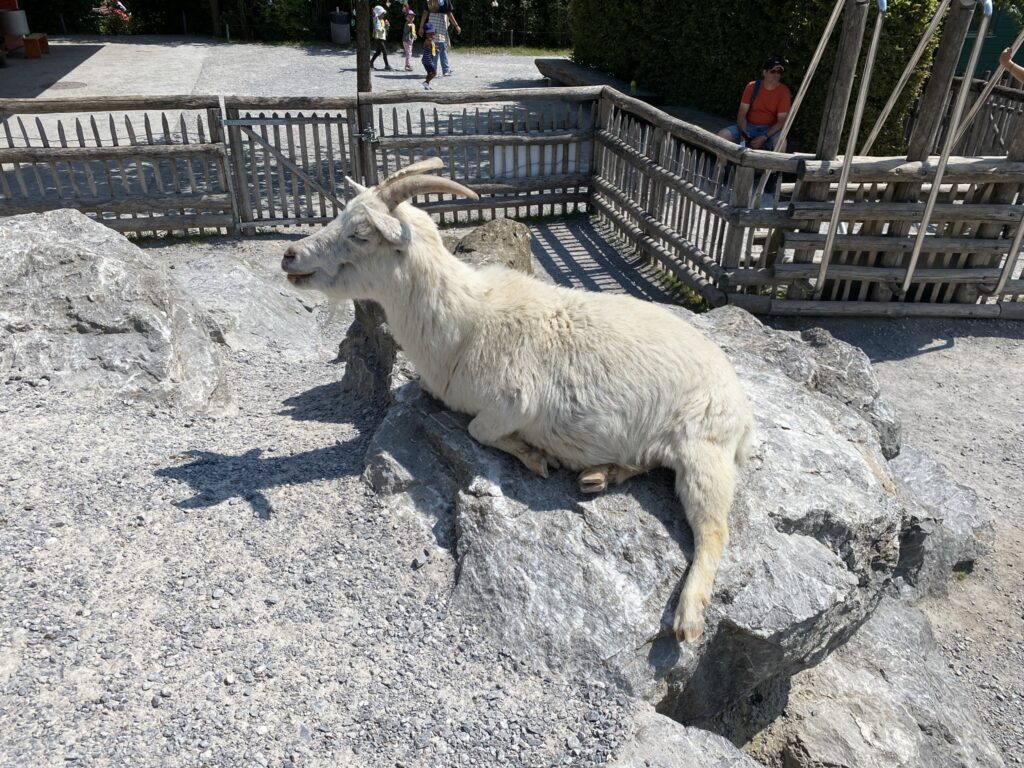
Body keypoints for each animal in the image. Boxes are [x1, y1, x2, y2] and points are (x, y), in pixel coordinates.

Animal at [281, 158, 754, 642]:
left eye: (361, 233)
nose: (290, 255)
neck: (465, 321)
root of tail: (742, 413)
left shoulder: (514, 401)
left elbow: (478, 429)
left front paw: (536, 455)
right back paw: (601, 475)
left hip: (704, 447)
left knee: (714, 528)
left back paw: (688, 618)